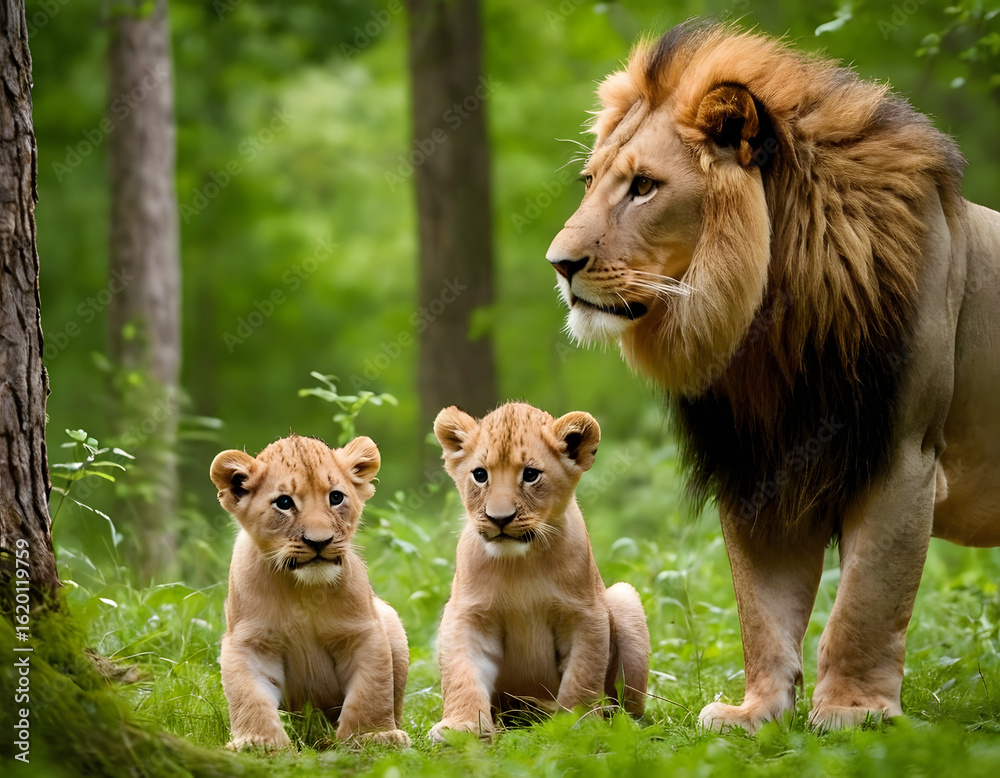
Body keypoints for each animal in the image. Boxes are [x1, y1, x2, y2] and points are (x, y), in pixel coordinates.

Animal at [210, 434, 410, 749]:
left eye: (336, 497)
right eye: (284, 503)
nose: (319, 541)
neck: (303, 590)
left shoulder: (363, 631)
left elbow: (372, 689)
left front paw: (371, 736)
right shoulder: (249, 640)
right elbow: (249, 696)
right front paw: (259, 743)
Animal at [429, 402, 650, 741]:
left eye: (531, 475)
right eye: (480, 475)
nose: (500, 518)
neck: (521, 562)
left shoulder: (585, 614)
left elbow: (582, 674)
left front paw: (577, 723)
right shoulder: (467, 614)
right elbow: (462, 674)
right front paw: (461, 727)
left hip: (624, 599)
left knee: (631, 707)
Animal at [545, 21, 1000, 732]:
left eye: (644, 186)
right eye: (591, 181)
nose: (559, 264)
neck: (773, 320)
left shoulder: (903, 456)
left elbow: (867, 601)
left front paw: (853, 712)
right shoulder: (761, 460)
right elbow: (763, 608)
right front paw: (756, 714)